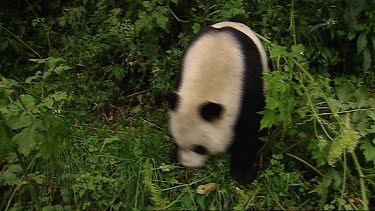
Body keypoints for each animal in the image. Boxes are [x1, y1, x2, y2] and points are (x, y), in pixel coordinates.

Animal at [166, 21, 268, 185]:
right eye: (176, 141)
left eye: (200, 148)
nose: (187, 164)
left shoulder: (247, 87)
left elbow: (251, 128)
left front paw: (243, 173)